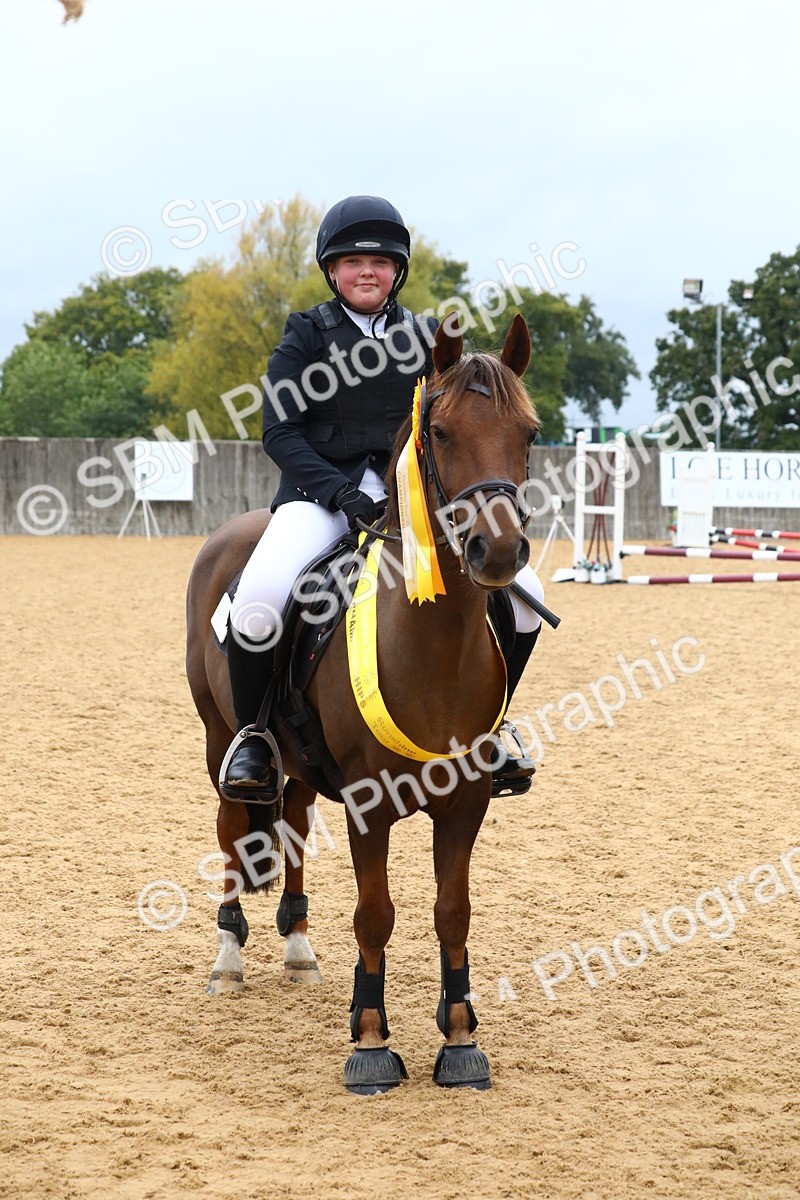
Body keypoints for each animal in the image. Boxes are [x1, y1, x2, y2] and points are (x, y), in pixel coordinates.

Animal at [185, 313, 540, 1093]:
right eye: (441, 432)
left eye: (529, 432)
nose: (498, 552)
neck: (432, 650)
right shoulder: (368, 804)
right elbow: (375, 914)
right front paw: (372, 1042)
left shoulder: (466, 800)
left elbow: (453, 911)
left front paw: (460, 1039)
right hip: (219, 735)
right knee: (232, 825)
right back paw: (228, 959)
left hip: (295, 758)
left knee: (289, 819)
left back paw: (297, 947)